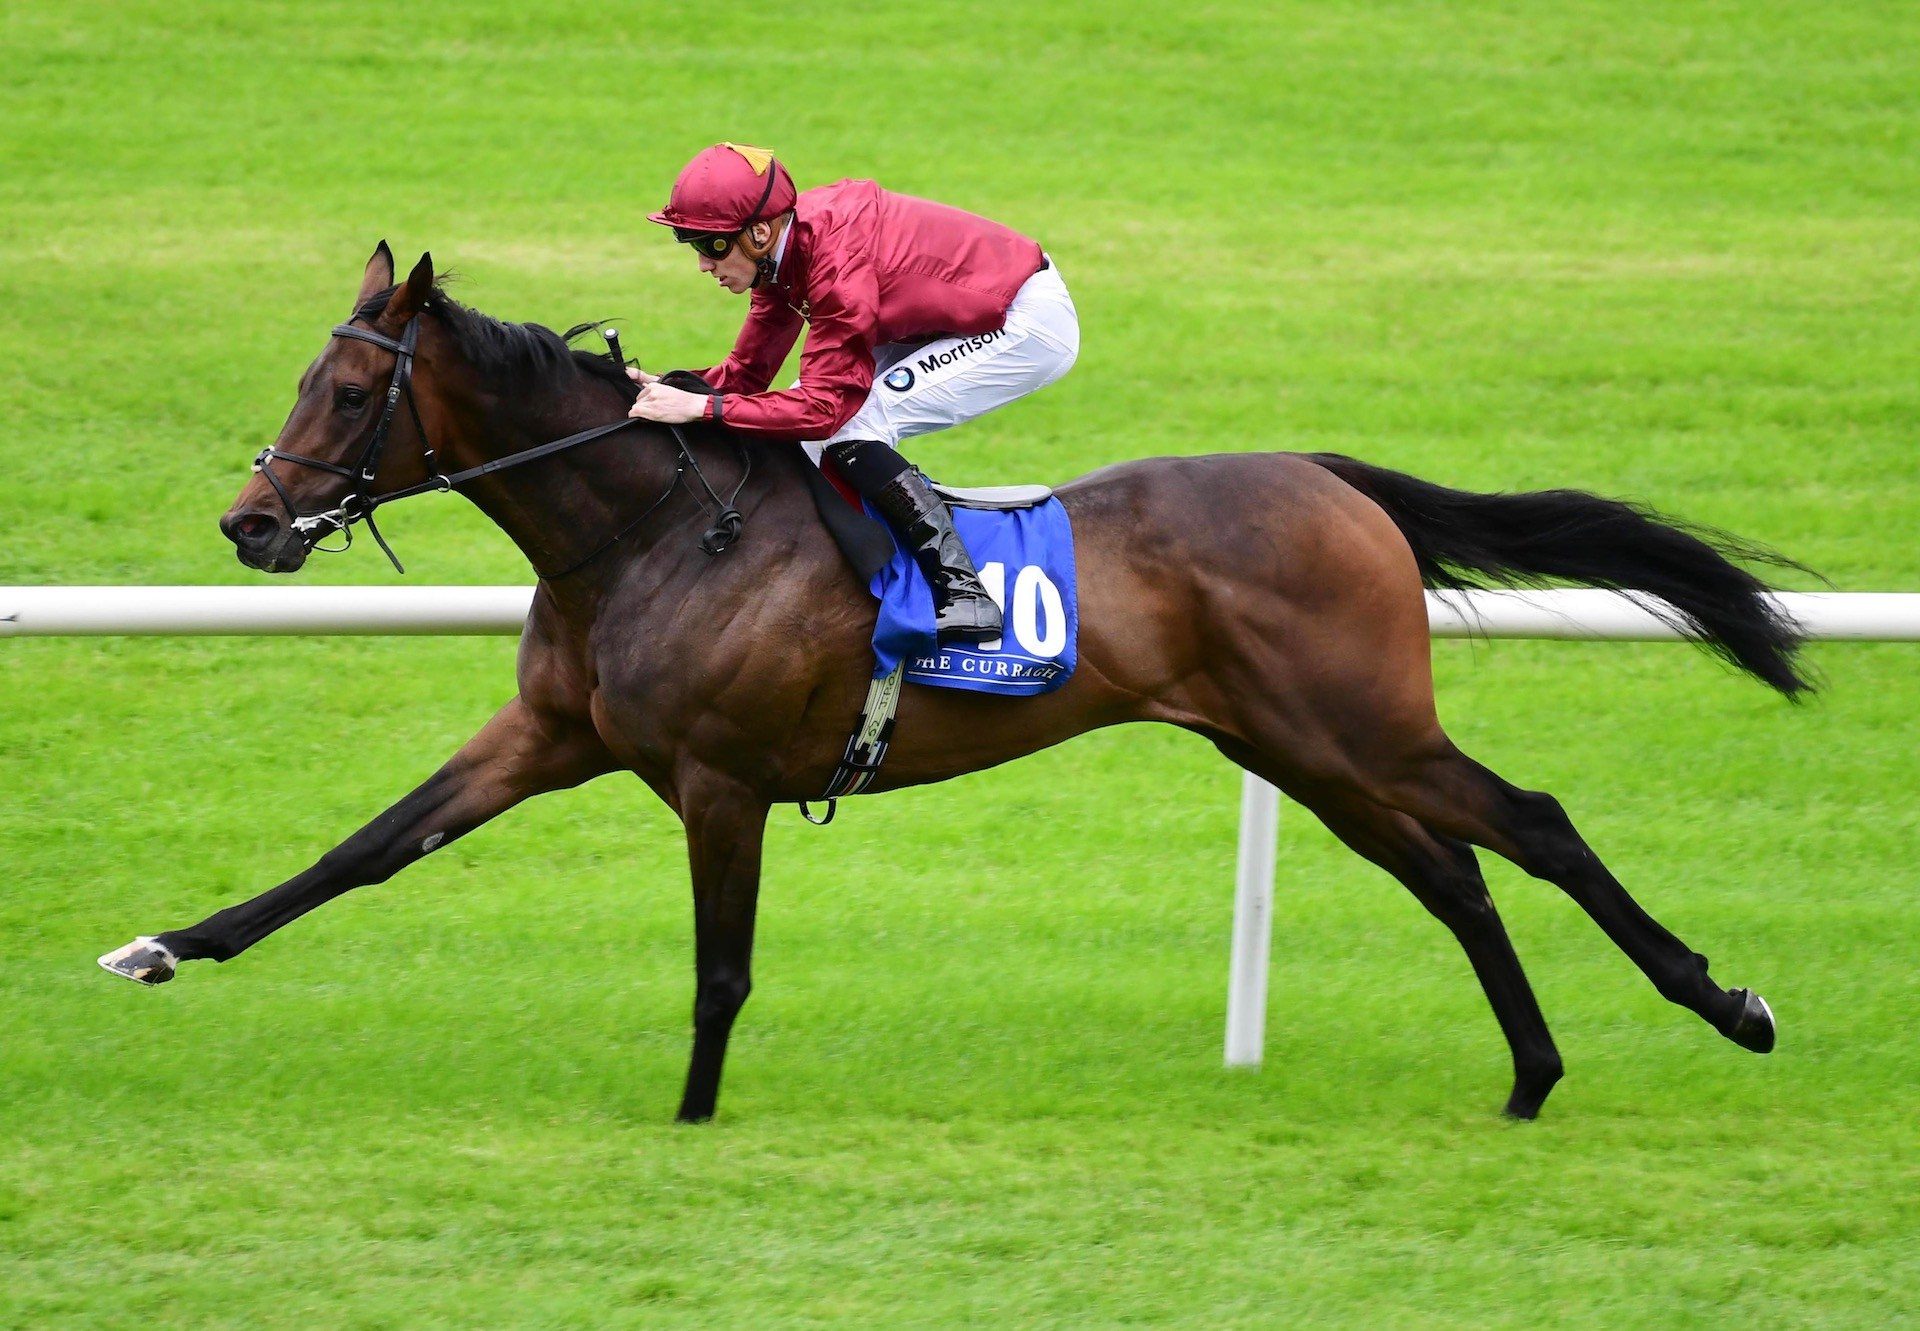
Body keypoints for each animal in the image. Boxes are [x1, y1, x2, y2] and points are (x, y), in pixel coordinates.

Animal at [97, 243, 1804, 1113]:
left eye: (349, 389)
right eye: (307, 378)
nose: (251, 522)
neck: (646, 530)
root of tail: (1331, 478)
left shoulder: (718, 778)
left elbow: (721, 966)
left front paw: (692, 1118)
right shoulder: (547, 731)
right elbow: (364, 850)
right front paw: (163, 944)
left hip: (1360, 724)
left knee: (1537, 821)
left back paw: (1723, 1002)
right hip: (1304, 748)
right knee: (1457, 872)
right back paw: (1532, 1073)